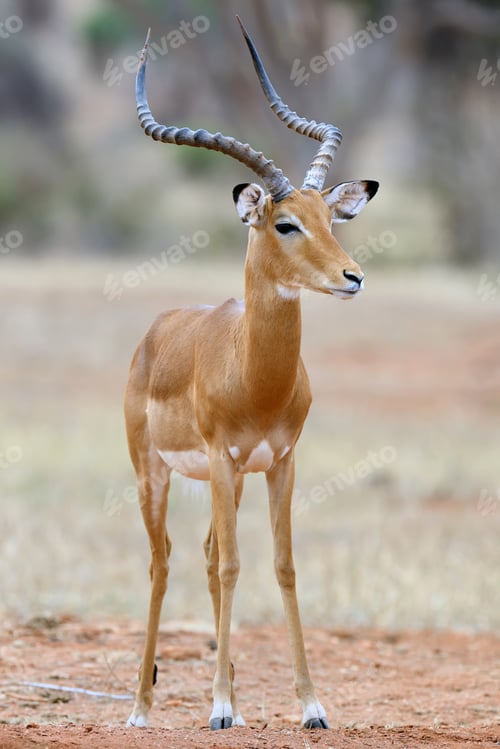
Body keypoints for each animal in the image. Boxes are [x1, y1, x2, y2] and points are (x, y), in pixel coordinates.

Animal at [125, 17, 378, 731]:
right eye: (285, 223)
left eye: (330, 218)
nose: (353, 277)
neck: (255, 376)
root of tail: (159, 328)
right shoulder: (221, 455)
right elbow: (235, 565)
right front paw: (215, 708)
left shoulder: (280, 460)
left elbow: (281, 565)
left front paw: (311, 706)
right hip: (157, 473)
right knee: (163, 562)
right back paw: (144, 707)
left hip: (229, 479)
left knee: (209, 557)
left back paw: (230, 695)